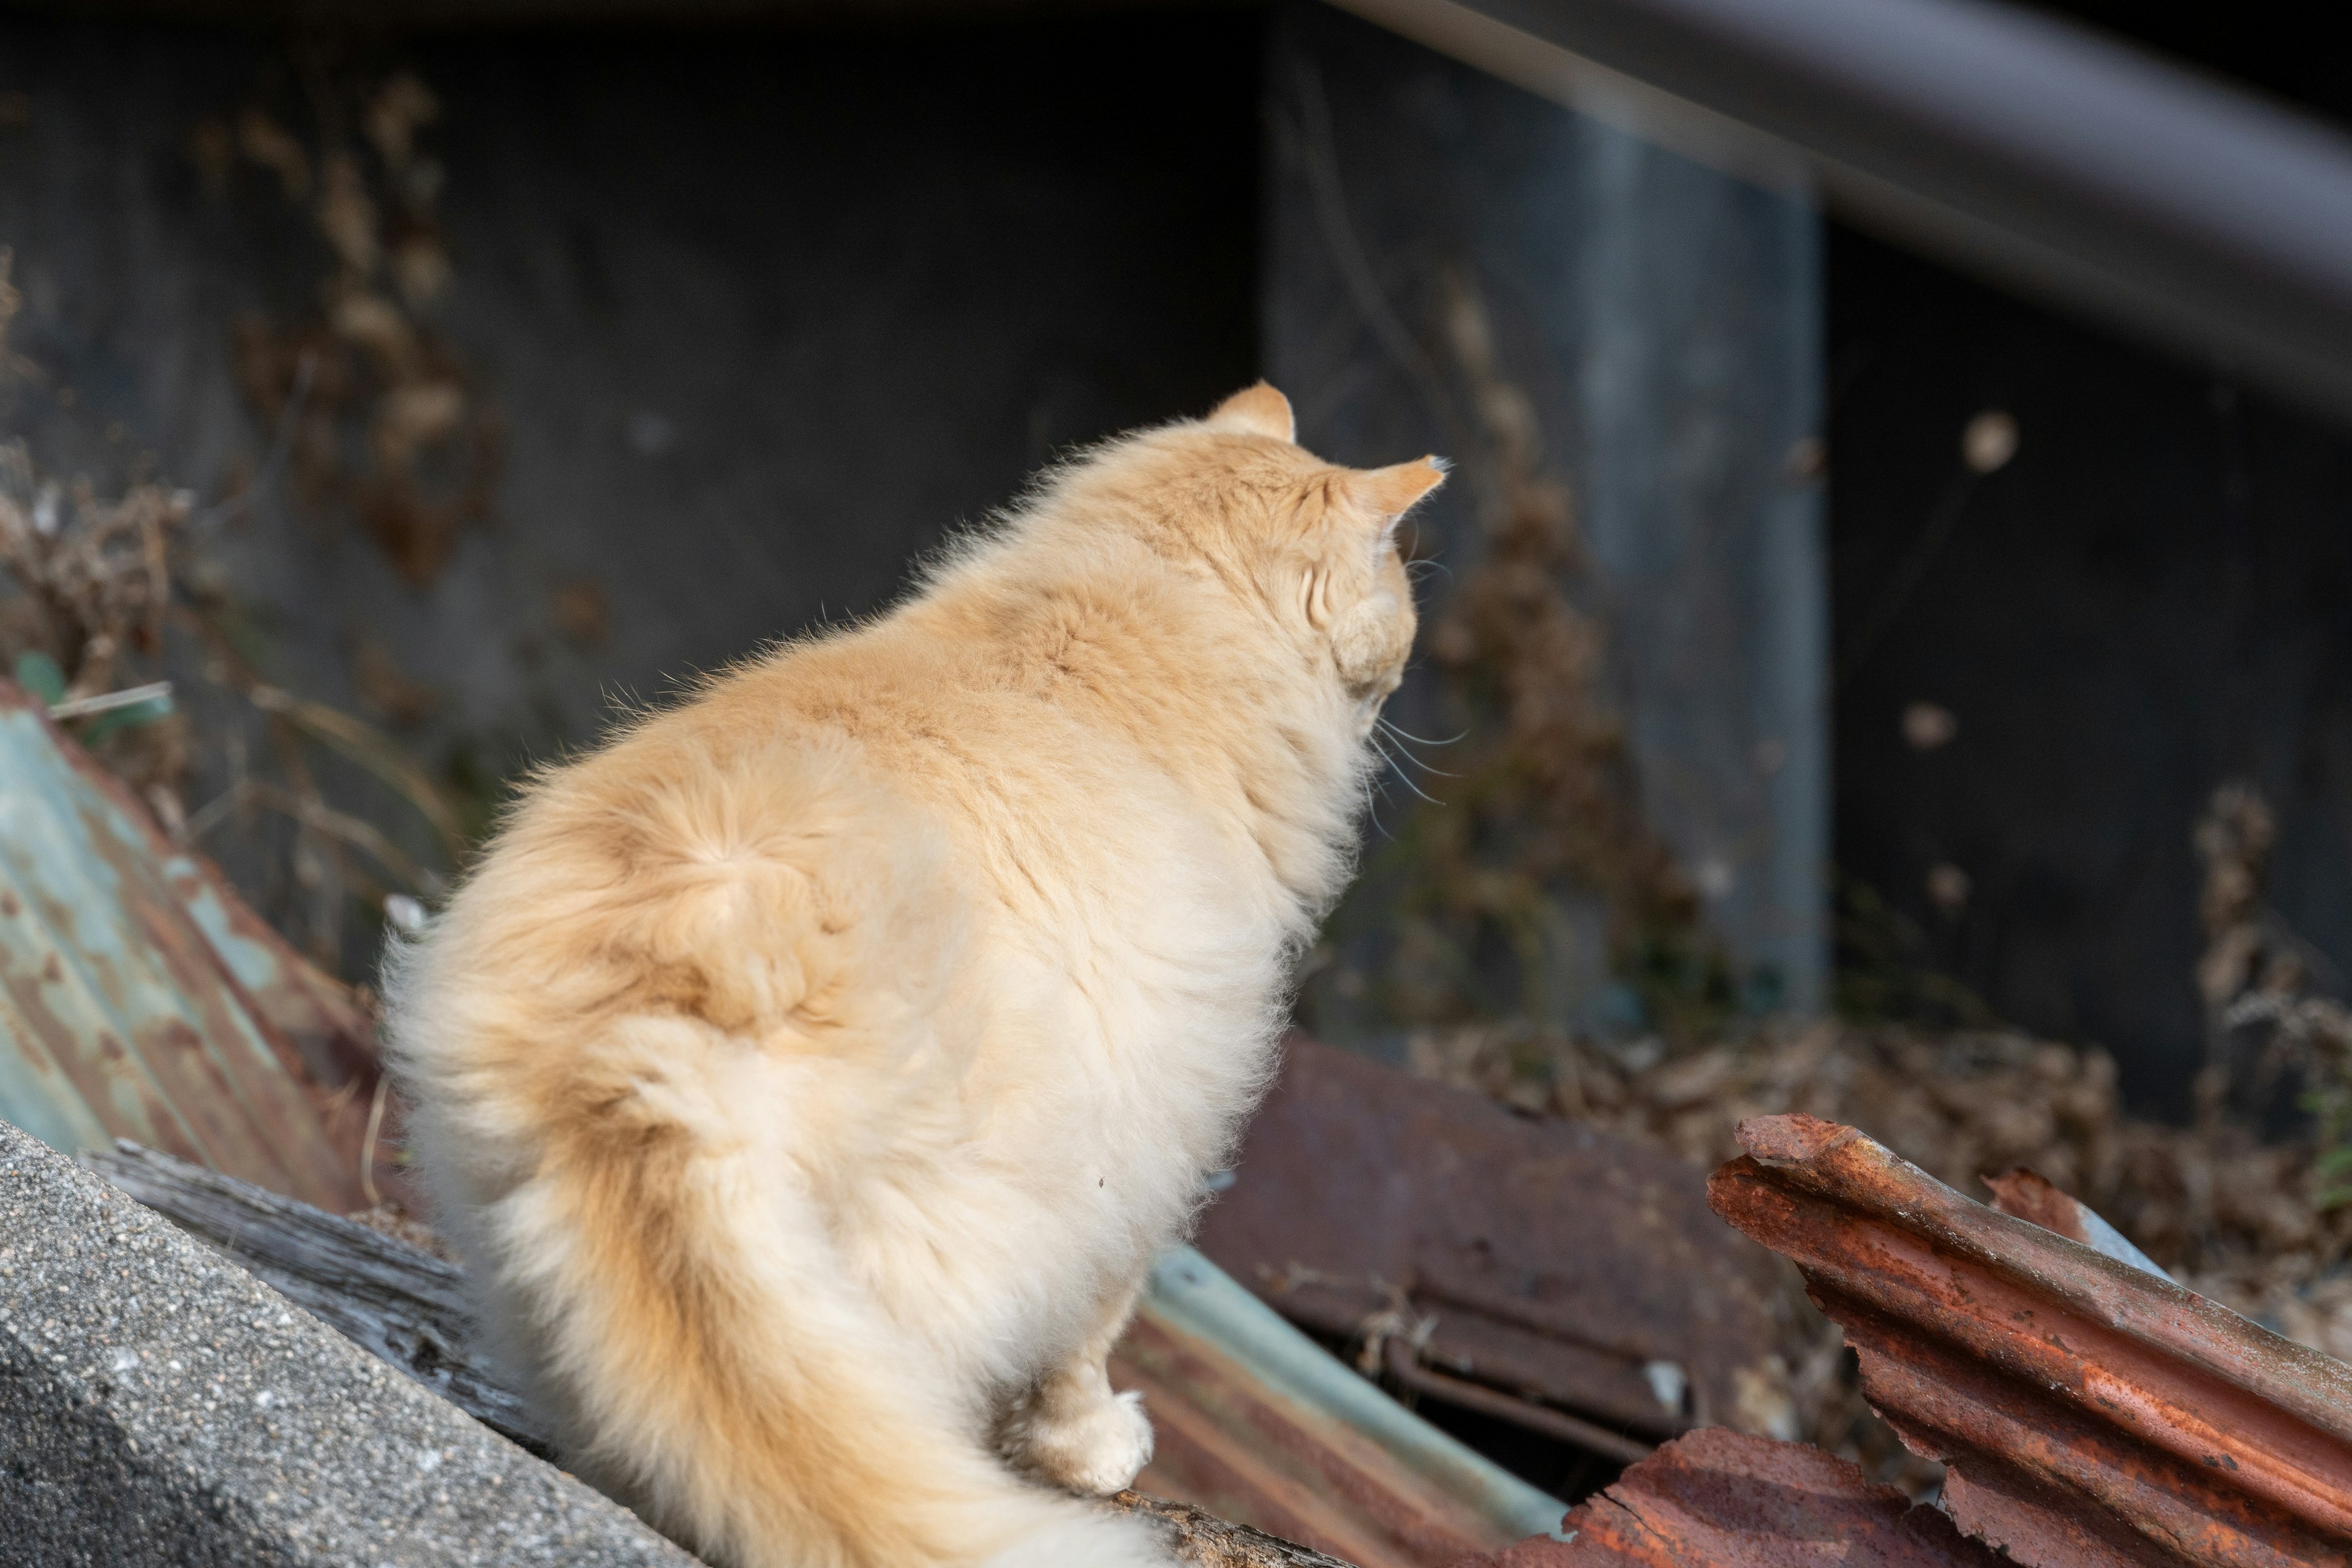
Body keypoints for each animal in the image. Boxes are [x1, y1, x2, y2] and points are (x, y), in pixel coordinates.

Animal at [383, 383, 1439, 1568]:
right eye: (1402, 595)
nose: (1406, 666)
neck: (1129, 616)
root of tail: (667, 981)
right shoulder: (1160, 1143)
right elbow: (1089, 1344)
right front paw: (1096, 1453)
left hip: (541, 1250)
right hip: (947, 1233)